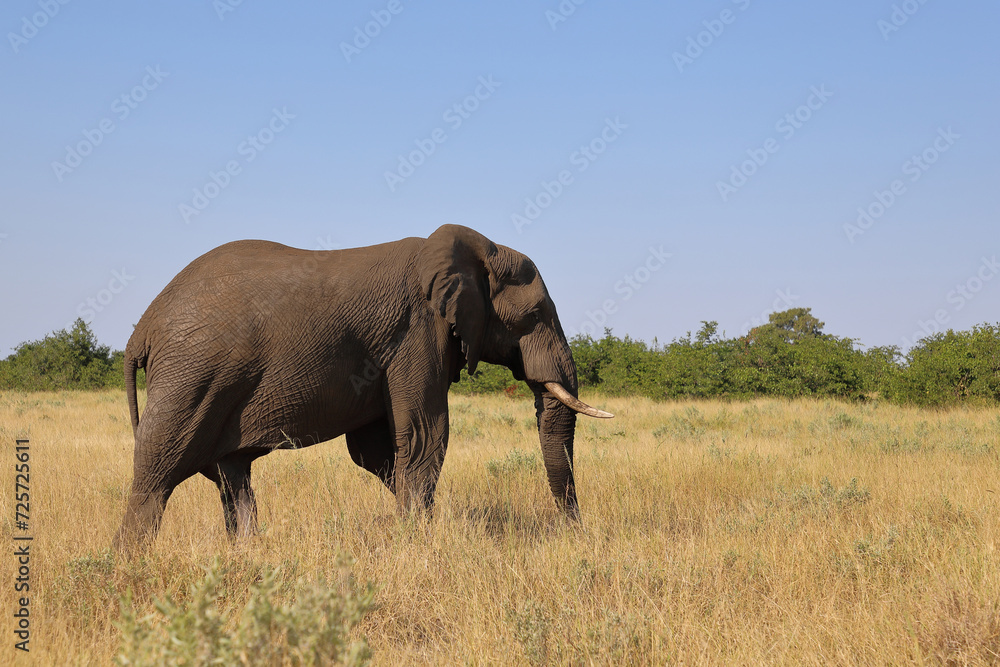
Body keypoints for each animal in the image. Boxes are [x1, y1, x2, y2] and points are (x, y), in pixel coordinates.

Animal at [113, 224, 613, 553]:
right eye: (535, 316)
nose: (574, 533)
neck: (476, 249)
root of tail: (143, 330)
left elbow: (374, 451)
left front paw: (419, 528)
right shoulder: (417, 331)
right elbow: (425, 434)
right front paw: (419, 540)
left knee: (230, 475)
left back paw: (248, 552)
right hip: (192, 376)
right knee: (157, 473)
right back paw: (128, 564)